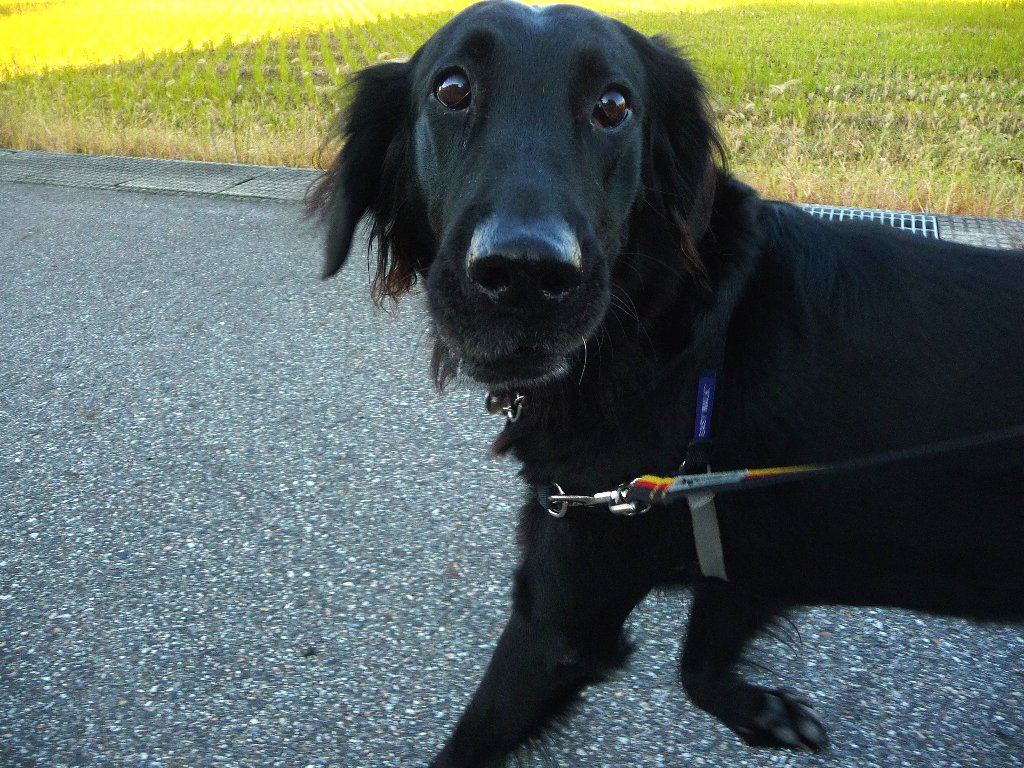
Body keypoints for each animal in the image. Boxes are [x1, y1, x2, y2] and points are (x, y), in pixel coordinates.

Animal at [308, 2, 1024, 765]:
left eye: (614, 105)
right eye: (452, 89)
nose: (526, 274)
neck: (666, 339)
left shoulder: (564, 612)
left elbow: (476, 736)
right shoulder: (746, 553)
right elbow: (698, 664)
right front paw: (761, 712)